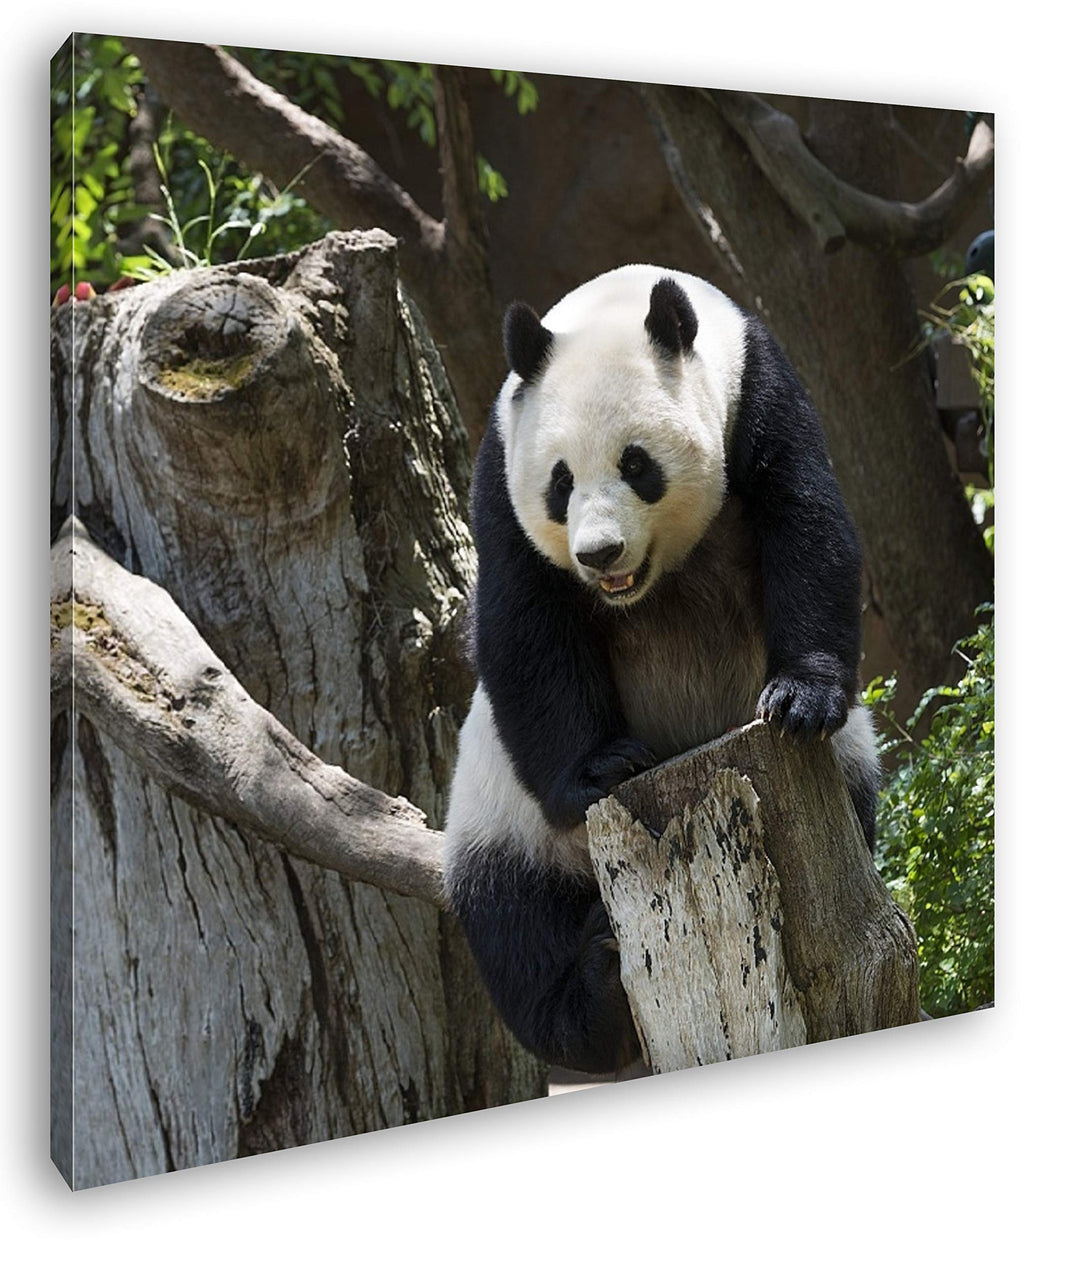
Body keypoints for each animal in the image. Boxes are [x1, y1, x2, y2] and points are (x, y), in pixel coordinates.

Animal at [443, 264, 879, 1075]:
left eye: (636, 464)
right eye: (559, 482)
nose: (599, 553)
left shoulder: (758, 392)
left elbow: (805, 523)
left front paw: (799, 699)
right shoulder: (500, 466)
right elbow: (526, 621)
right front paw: (604, 766)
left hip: (850, 766)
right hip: (502, 817)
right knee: (514, 924)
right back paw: (595, 993)